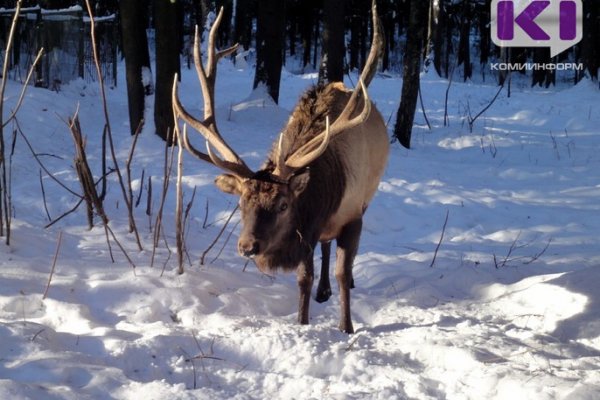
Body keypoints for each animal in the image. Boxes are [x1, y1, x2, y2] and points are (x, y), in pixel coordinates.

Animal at [173, 2, 390, 334]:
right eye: (240, 203)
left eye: (283, 204)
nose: (247, 245)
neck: (324, 199)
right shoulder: (307, 230)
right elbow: (304, 279)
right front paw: (303, 322)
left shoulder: (352, 214)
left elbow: (341, 272)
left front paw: (346, 326)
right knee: (325, 249)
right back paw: (323, 291)